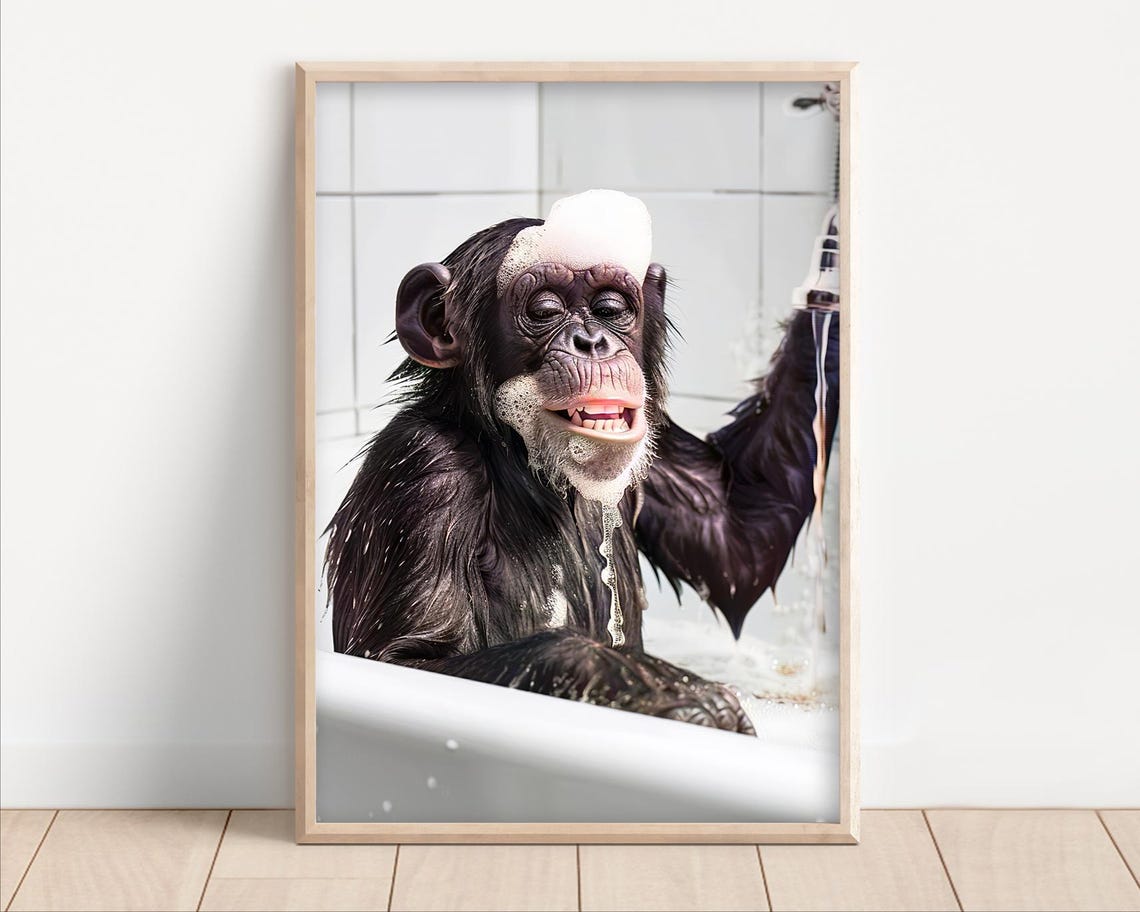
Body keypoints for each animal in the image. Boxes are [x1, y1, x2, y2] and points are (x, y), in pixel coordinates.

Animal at [326, 190, 839, 735]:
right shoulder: (424, 470)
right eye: (544, 310)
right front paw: (659, 685)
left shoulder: (653, 435)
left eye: (611, 308)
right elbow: (406, 658)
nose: (592, 342)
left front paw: (832, 266)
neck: (521, 459)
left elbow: (737, 532)